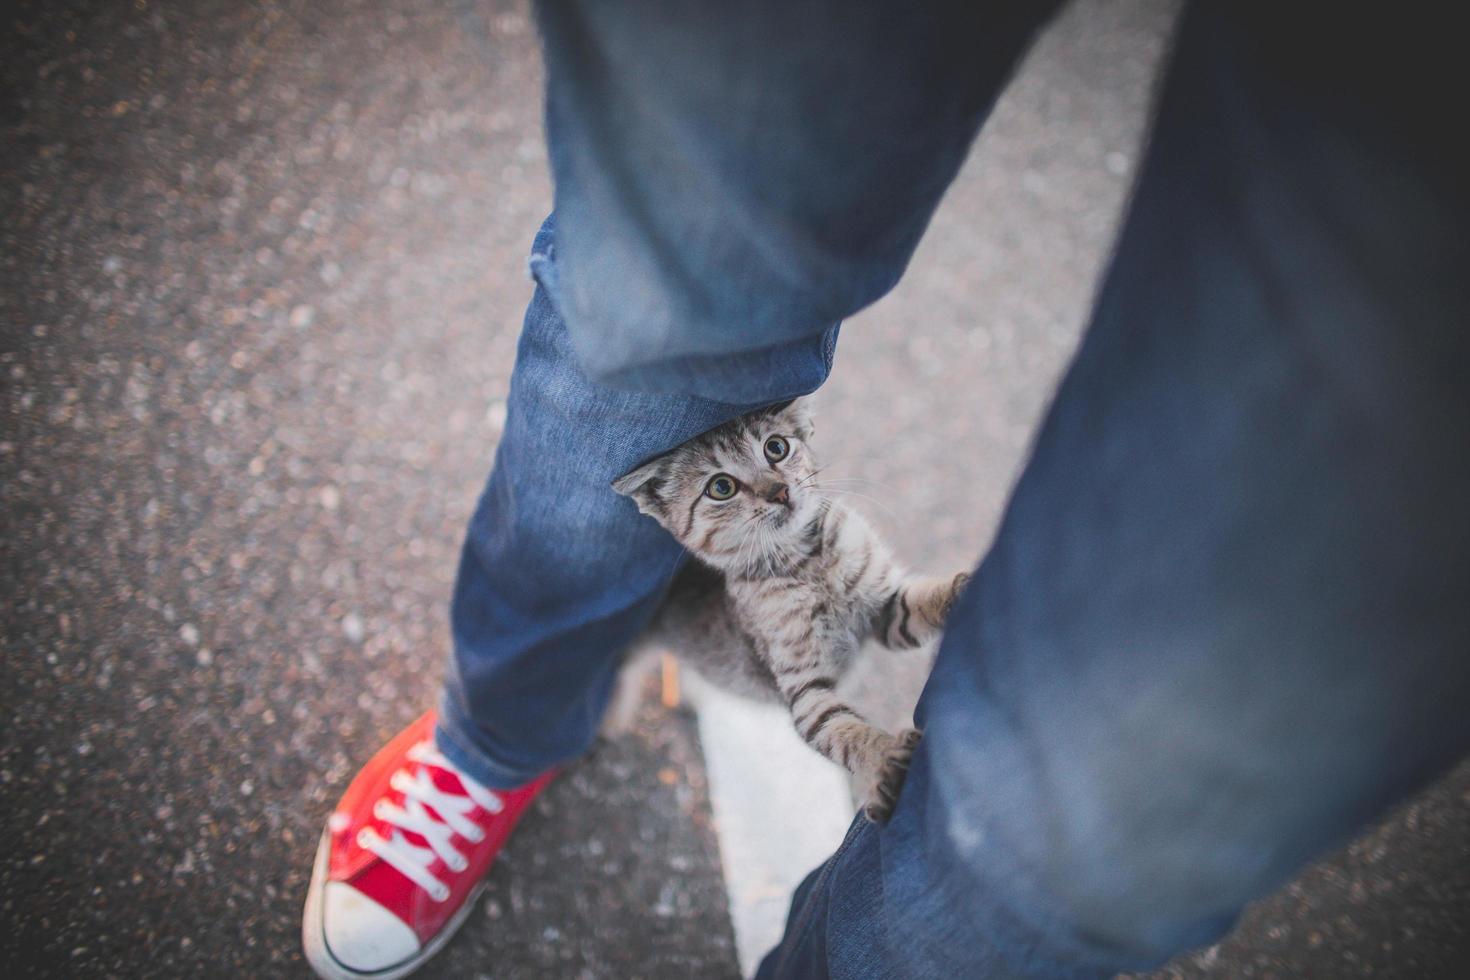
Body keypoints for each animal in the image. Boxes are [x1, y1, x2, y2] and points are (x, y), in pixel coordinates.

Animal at [608, 396, 964, 822]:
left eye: (775, 448)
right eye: (721, 487)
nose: (778, 491)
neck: (808, 563)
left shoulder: (890, 613)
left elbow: (921, 604)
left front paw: (963, 587)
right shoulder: (805, 692)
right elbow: (844, 731)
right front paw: (882, 759)